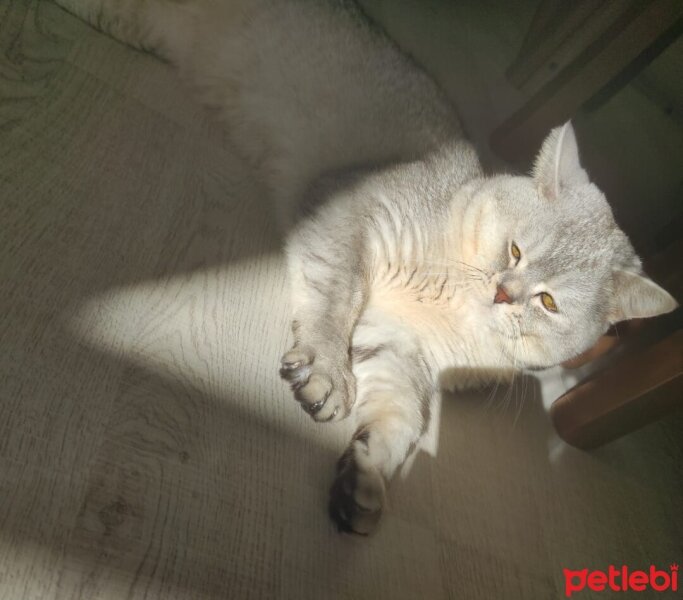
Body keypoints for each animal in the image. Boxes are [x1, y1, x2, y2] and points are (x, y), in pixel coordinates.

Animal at [54, 0, 680, 536]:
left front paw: (367, 477)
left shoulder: (402, 350)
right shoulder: (349, 213)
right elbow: (340, 297)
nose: (504, 293)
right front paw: (330, 370)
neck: (449, 304)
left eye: (548, 302)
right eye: (515, 252)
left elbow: (405, 419)